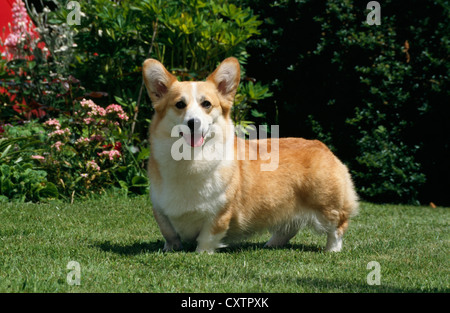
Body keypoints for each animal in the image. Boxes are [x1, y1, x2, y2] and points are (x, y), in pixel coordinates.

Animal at [142, 57, 356, 252]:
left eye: (206, 104)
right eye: (179, 104)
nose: (193, 122)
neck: (190, 160)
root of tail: (323, 147)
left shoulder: (219, 212)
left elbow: (208, 237)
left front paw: (202, 253)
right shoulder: (159, 208)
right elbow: (169, 232)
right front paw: (170, 249)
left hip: (327, 206)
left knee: (337, 227)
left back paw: (332, 250)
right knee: (289, 227)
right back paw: (271, 243)